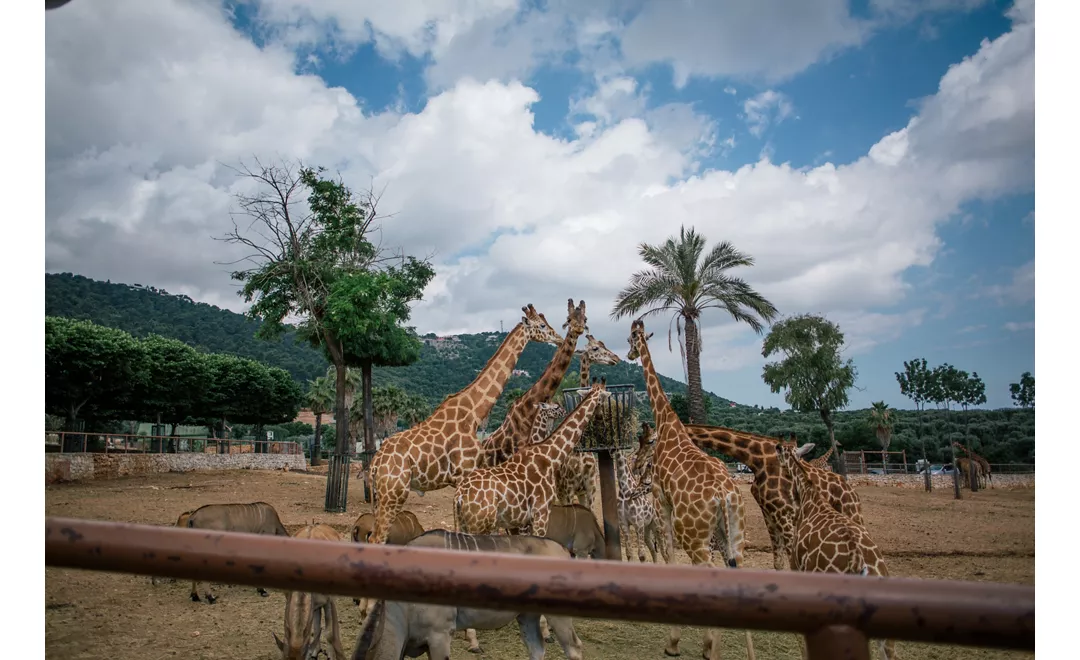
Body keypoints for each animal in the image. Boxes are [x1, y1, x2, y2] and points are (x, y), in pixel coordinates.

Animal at [366, 304, 564, 547]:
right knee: (377, 538)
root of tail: (375, 465)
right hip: (394, 493)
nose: (559, 338)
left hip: (382, 495)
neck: (474, 413)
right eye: (542, 325)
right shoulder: (464, 473)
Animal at [454, 378, 612, 537]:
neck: (551, 456)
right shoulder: (541, 513)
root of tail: (459, 497)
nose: (602, 416)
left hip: (466, 525)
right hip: (480, 525)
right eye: (604, 395)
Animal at [554, 334, 622, 508]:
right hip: (558, 492)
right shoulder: (568, 490)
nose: (616, 358)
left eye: (603, 343)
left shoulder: (590, 489)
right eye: (595, 348)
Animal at [626, 319, 754, 660]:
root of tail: (725, 495)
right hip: (732, 532)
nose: (629, 354)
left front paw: (673, 641)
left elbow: (668, 556)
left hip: (693, 532)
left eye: (631, 338)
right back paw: (720, 649)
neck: (668, 423)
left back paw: (708, 646)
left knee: (709, 569)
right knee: (734, 570)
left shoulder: (661, 499)